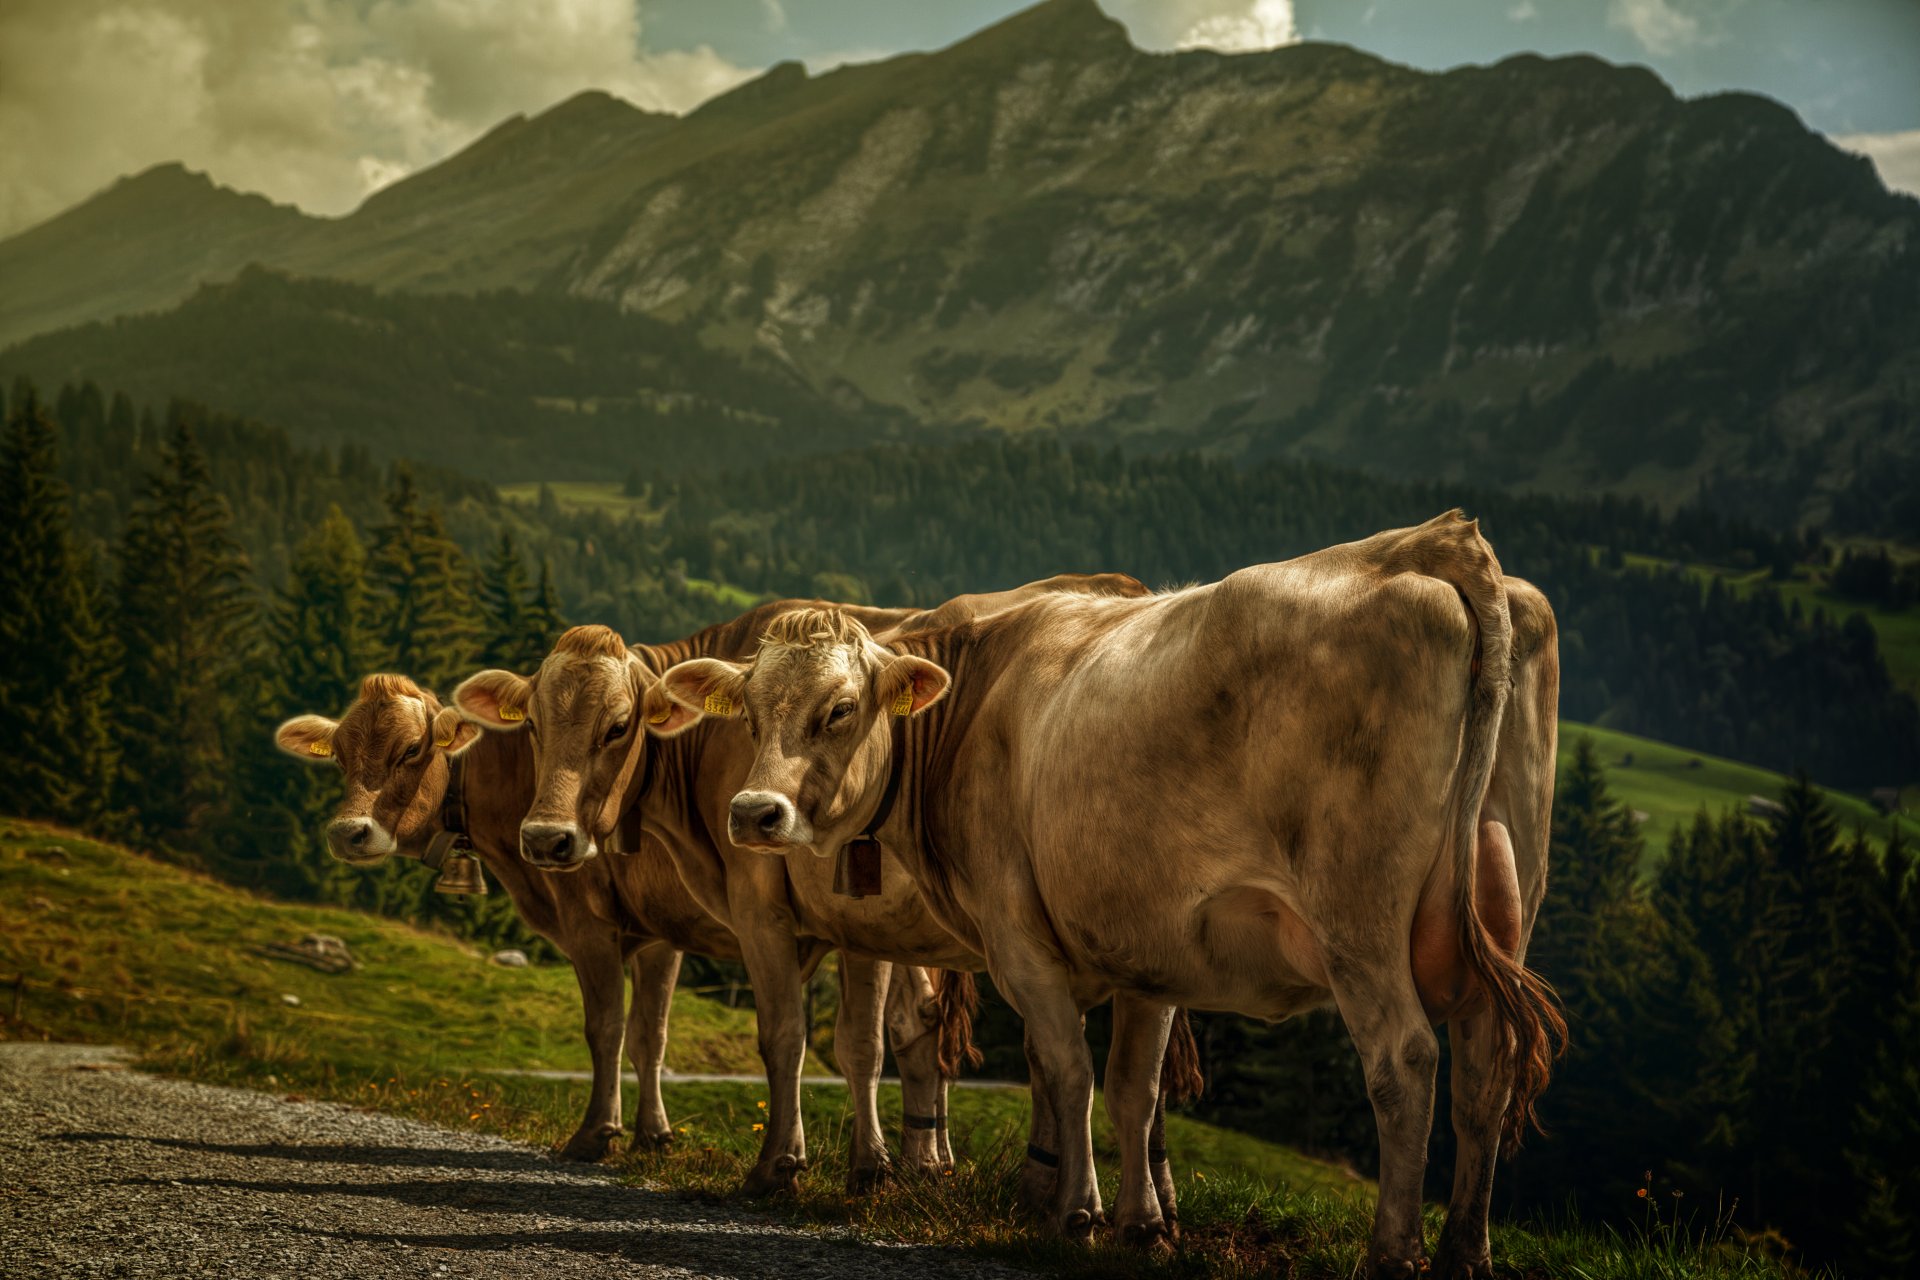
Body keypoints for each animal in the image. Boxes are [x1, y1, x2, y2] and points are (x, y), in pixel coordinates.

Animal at [270, 675, 960, 1189]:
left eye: (412, 750)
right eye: (339, 755)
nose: (348, 832)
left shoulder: (588, 920)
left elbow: (605, 1027)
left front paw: (596, 1134)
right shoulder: (659, 933)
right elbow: (649, 1035)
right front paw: (655, 1135)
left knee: (878, 1034)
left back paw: (881, 1164)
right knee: (921, 1023)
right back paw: (928, 1164)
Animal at [451, 579, 1198, 1212]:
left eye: (617, 725)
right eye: (534, 726)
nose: (548, 838)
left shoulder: (745, 910)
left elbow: (768, 1035)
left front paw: (771, 1164)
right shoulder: (853, 926)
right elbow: (856, 1046)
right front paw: (870, 1169)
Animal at [652, 514, 1566, 1280]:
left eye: (840, 710)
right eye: (750, 713)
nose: (753, 812)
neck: (976, 703)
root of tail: (1432, 541)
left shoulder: (1019, 937)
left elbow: (1066, 1069)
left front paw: (1077, 1215)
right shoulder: (1150, 944)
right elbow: (1132, 1088)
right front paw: (1140, 1224)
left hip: (1359, 922)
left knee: (1404, 1060)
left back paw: (1393, 1254)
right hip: (1505, 901)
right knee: (1485, 1069)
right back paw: (1465, 1252)